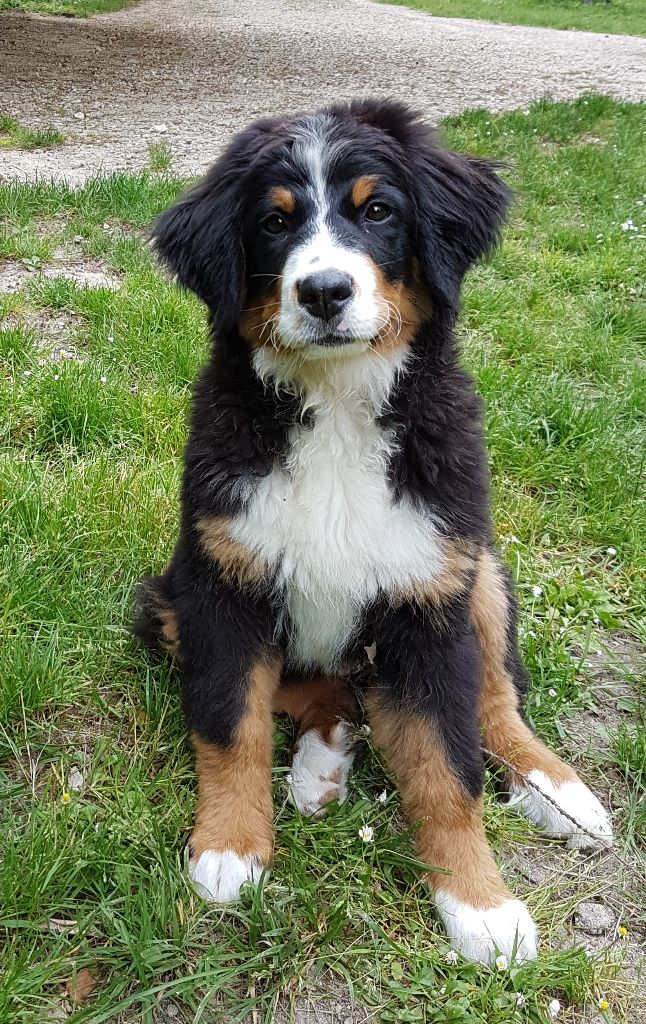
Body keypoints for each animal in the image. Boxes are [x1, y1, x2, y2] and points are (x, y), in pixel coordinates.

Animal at [134, 99, 614, 962]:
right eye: (273, 222)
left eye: (379, 212)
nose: (324, 290)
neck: (335, 406)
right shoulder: (223, 581)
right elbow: (230, 722)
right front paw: (228, 847)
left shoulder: (429, 599)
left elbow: (448, 768)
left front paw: (481, 905)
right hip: (166, 600)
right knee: (324, 689)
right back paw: (322, 764)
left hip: (480, 574)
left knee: (496, 702)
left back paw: (562, 795)